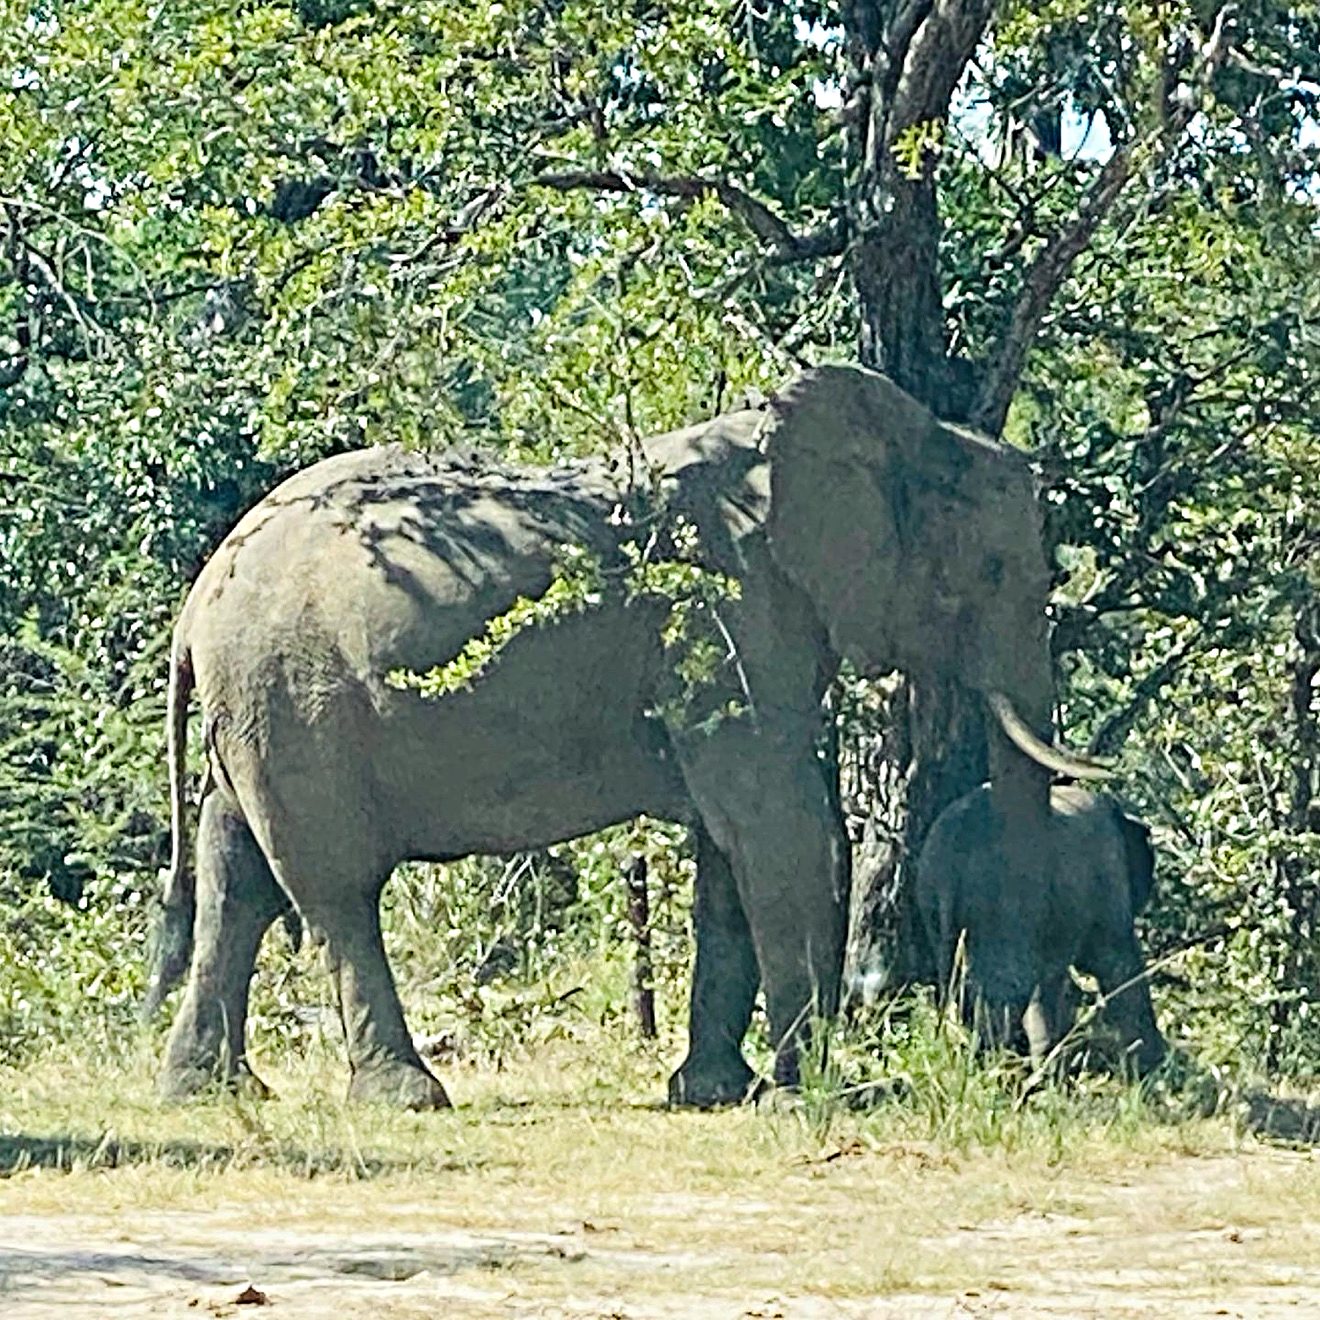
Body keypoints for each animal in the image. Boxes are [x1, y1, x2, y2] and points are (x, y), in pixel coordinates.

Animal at [143, 363, 1109, 1109]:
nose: (1025, 1073)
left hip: (258, 707)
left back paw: (211, 1091)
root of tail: (197, 601)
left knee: (237, 874)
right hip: (296, 700)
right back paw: (406, 1097)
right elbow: (783, 832)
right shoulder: (726, 613)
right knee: (336, 889)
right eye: (994, 569)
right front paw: (819, 1097)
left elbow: (732, 850)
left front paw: (717, 1093)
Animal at [913, 783, 1166, 1074]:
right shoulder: (1107, 873)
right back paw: (998, 1067)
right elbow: (1117, 964)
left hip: (932, 899)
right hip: (1004, 901)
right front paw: (1153, 1062)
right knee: (1005, 993)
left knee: (960, 987)